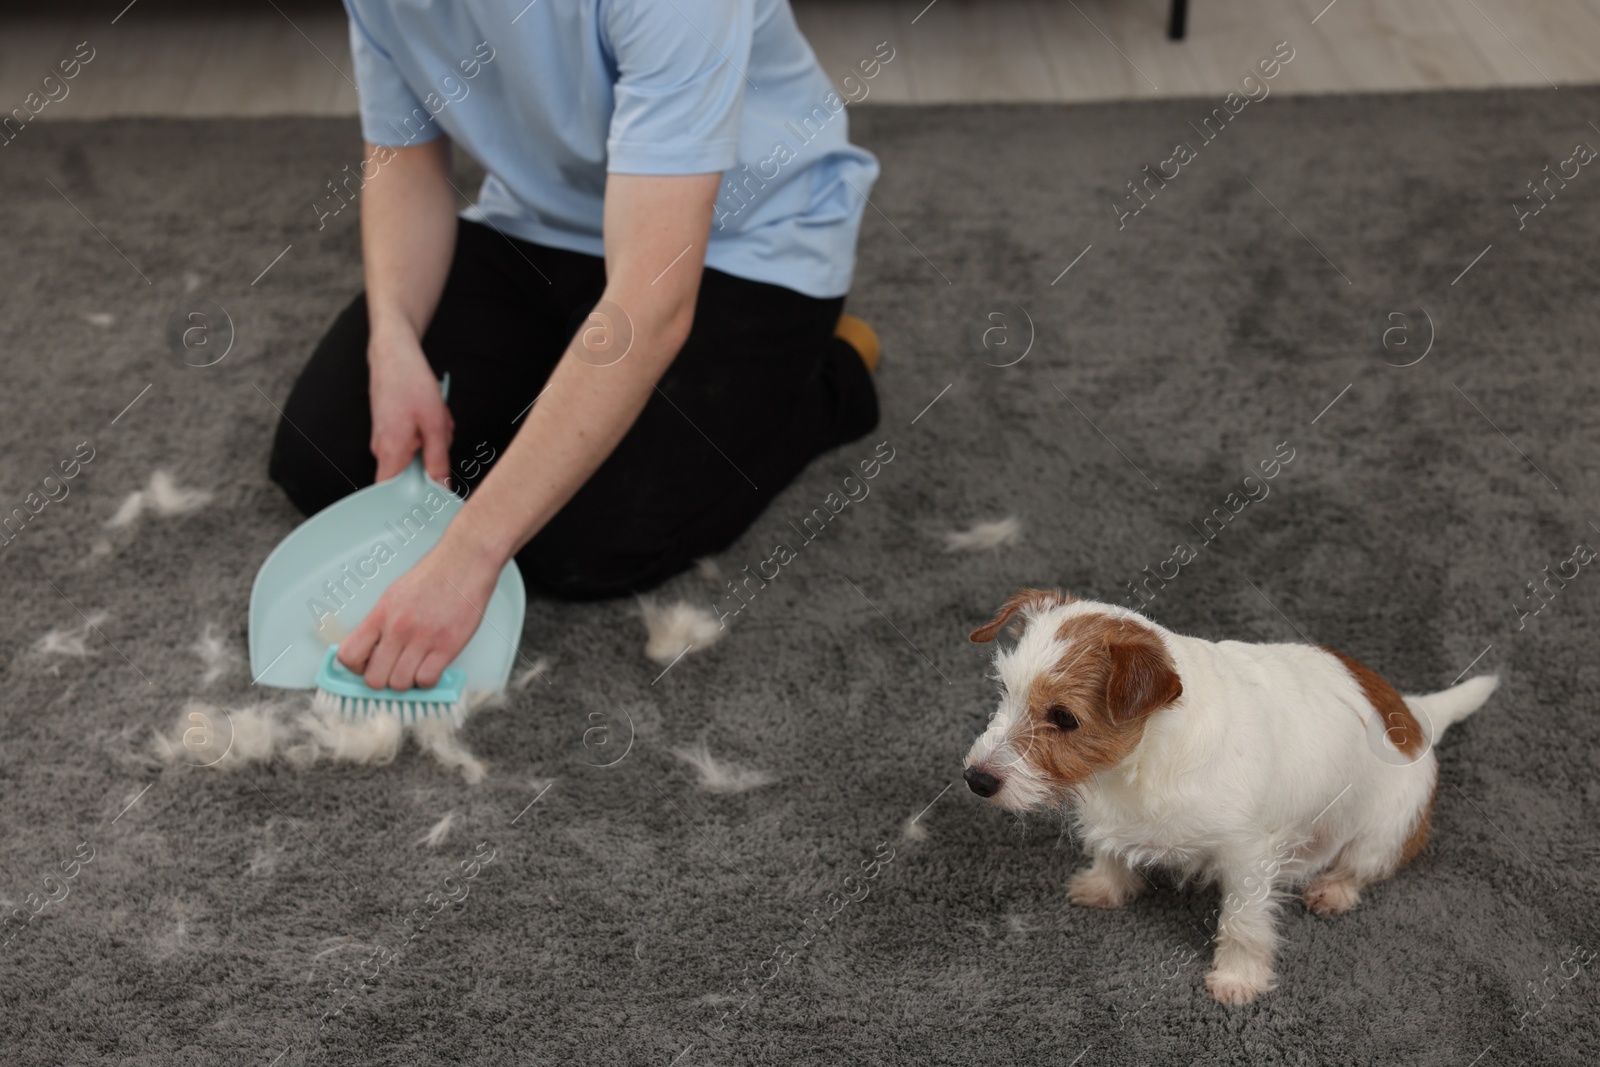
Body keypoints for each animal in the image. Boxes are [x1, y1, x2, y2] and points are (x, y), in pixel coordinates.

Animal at [960, 588, 1497, 1004]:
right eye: (1005, 690)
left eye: (1064, 718)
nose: (975, 779)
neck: (1141, 764)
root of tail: (1410, 714)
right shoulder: (1109, 813)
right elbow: (1109, 851)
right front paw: (1105, 885)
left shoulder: (1248, 857)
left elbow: (1241, 922)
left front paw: (1239, 979)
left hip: (1384, 831)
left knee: (1364, 864)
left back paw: (1336, 889)